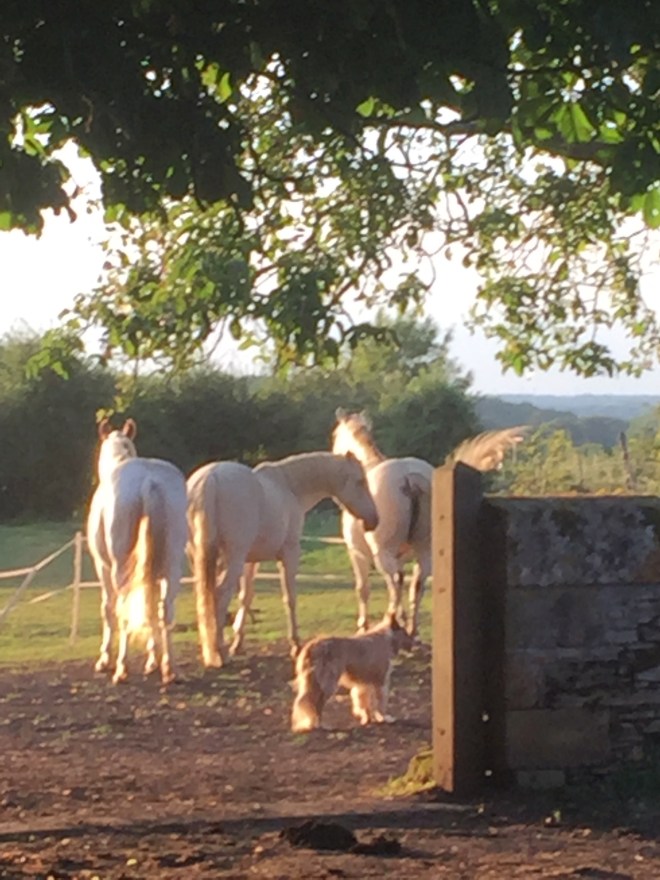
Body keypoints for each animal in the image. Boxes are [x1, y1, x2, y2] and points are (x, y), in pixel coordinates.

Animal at [86, 418, 188, 684]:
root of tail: (149, 481)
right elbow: (149, 606)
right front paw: (153, 660)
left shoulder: (103, 568)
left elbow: (108, 609)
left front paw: (104, 660)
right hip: (172, 566)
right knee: (165, 610)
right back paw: (169, 668)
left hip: (120, 568)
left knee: (123, 611)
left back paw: (122, 668)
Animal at [186, 451, 379, 667]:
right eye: (360, 481)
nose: (374, 520)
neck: (290, 487)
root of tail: (210, 479)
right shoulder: (289, 554)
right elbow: (290, 598)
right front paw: (295, 644)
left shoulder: (251, 561)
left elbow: (245, 597)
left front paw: (238, 643)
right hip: (232, 559)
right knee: (220, 595)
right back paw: (220, 652)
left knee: (205, 597)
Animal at [331, 409, 526, 636]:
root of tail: (410, 477)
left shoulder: (357, 554)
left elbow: (364, 589)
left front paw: (365, 626)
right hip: (425, 552)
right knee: (415, 584)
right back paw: (411, 628)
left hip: (384, 553)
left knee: (396, 582)